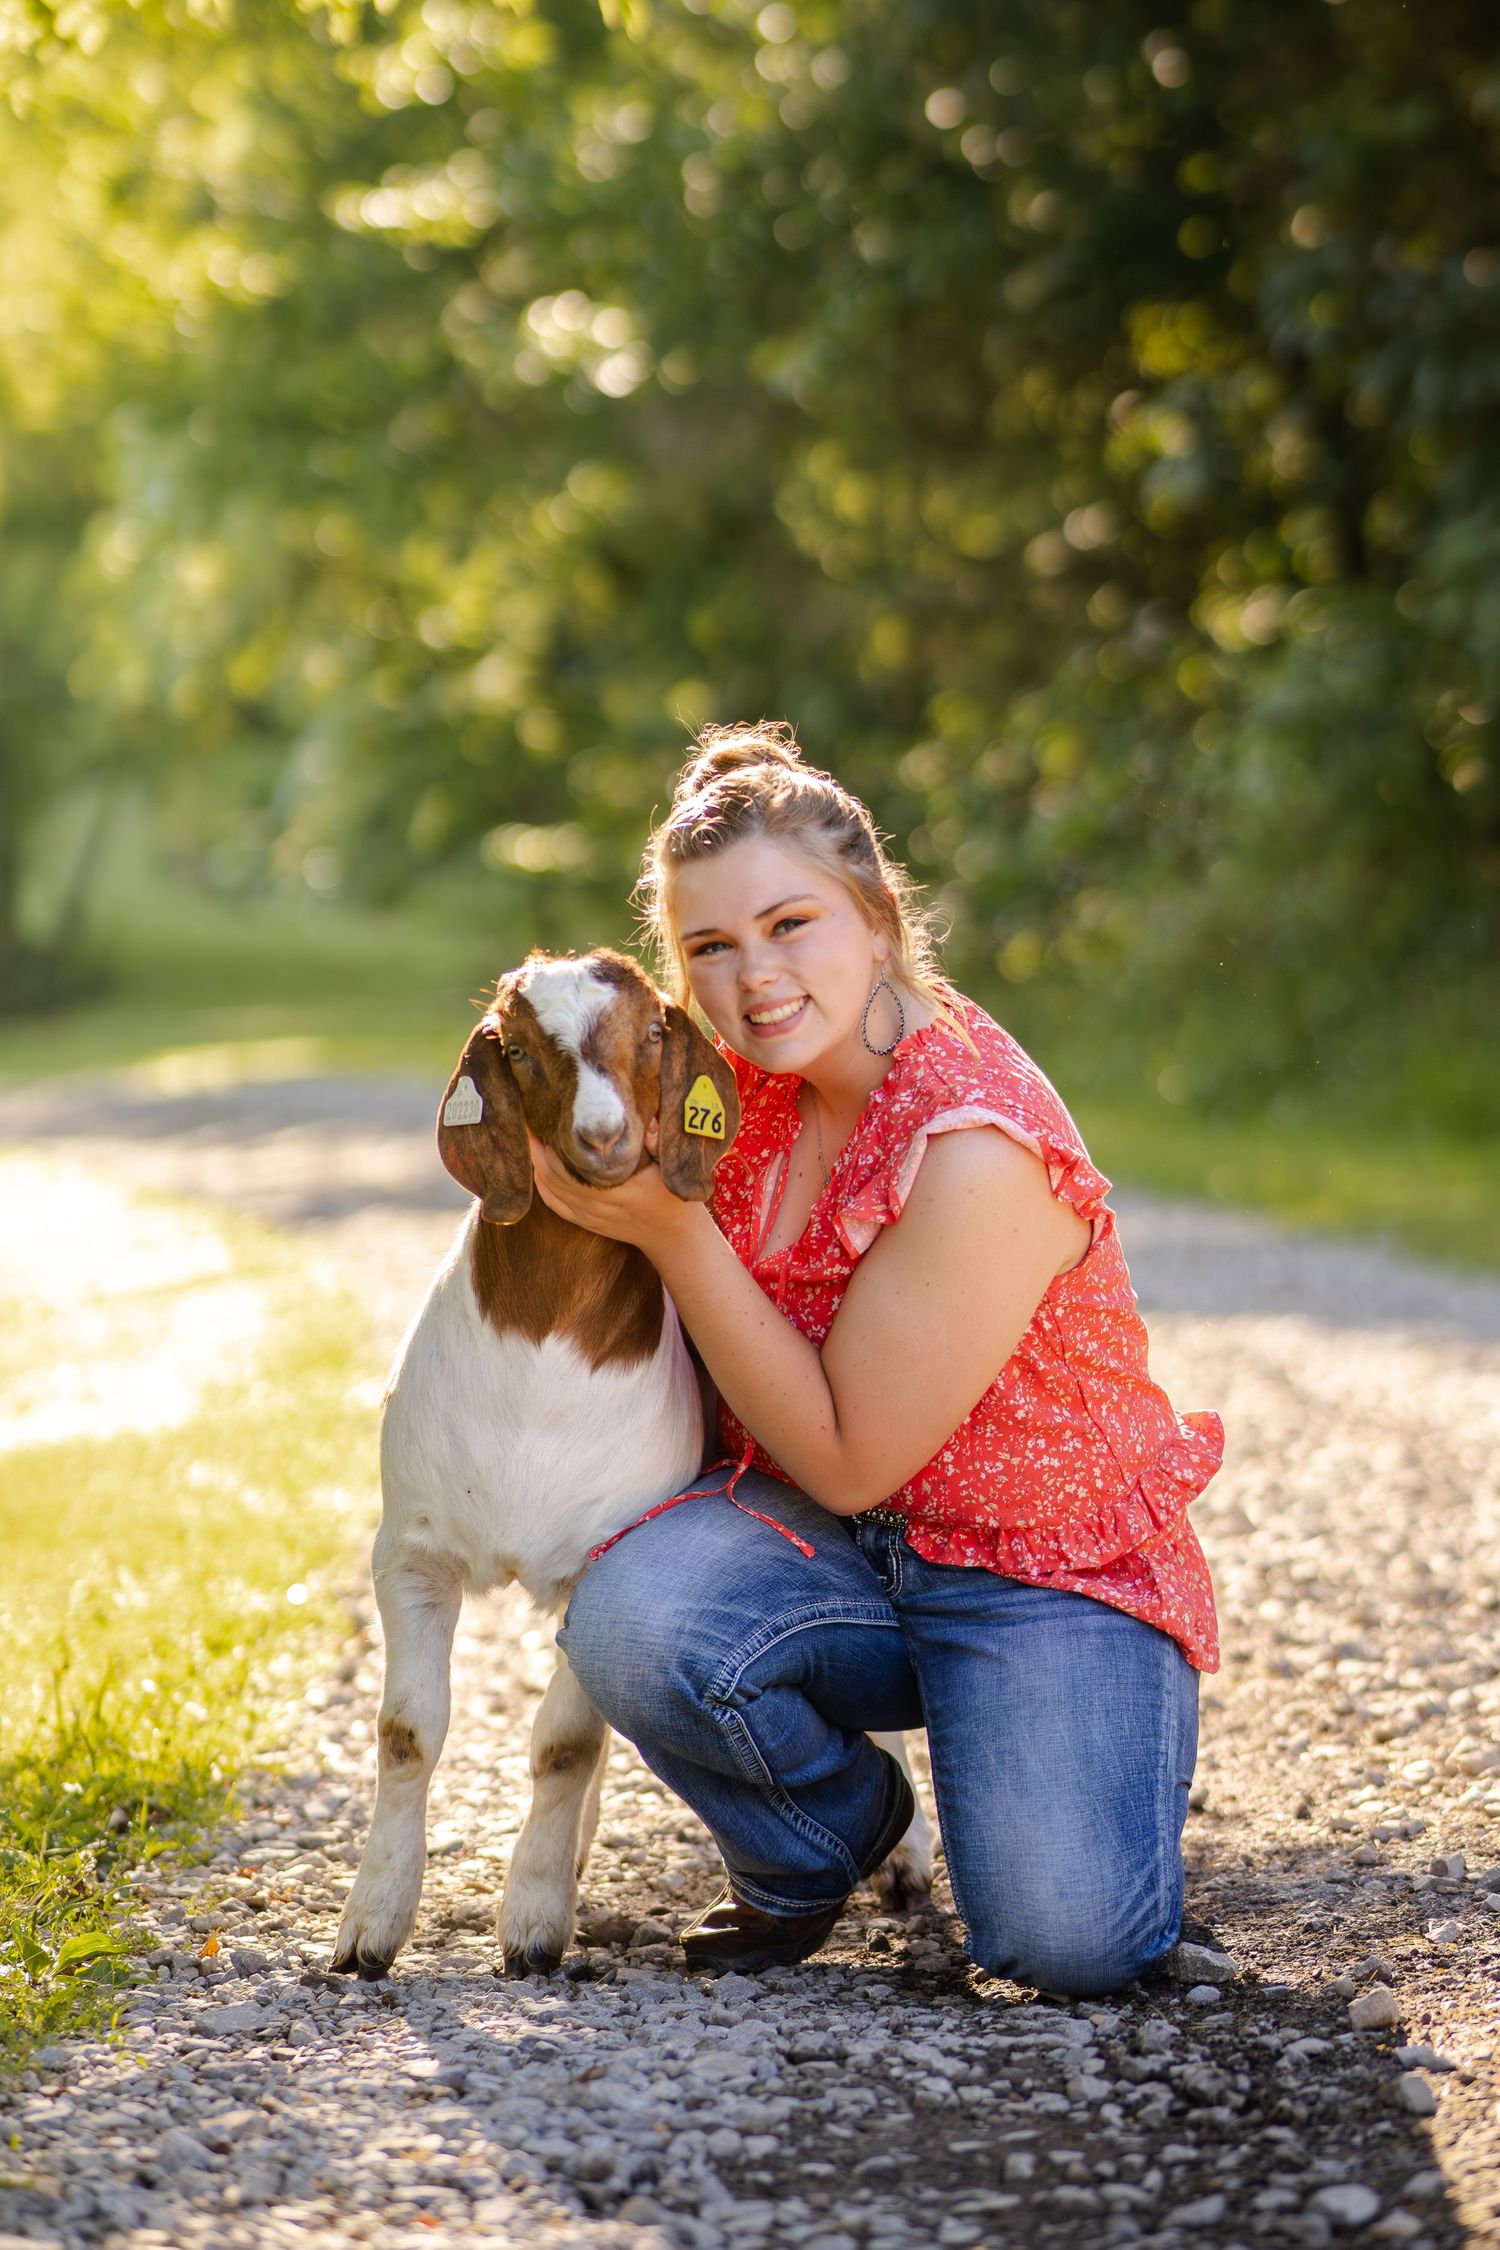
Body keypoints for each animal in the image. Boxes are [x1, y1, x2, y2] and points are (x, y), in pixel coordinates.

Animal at [331, 947, 931, 1981]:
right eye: (518, 1049)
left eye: (654, 1030)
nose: (605, 1136)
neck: (543, 1355)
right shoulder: (412, 1552)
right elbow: (407, 1731)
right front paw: (373, 1924)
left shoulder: (604, 1557)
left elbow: (565, 1745)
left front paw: (534, 1924)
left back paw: (906, 1863)